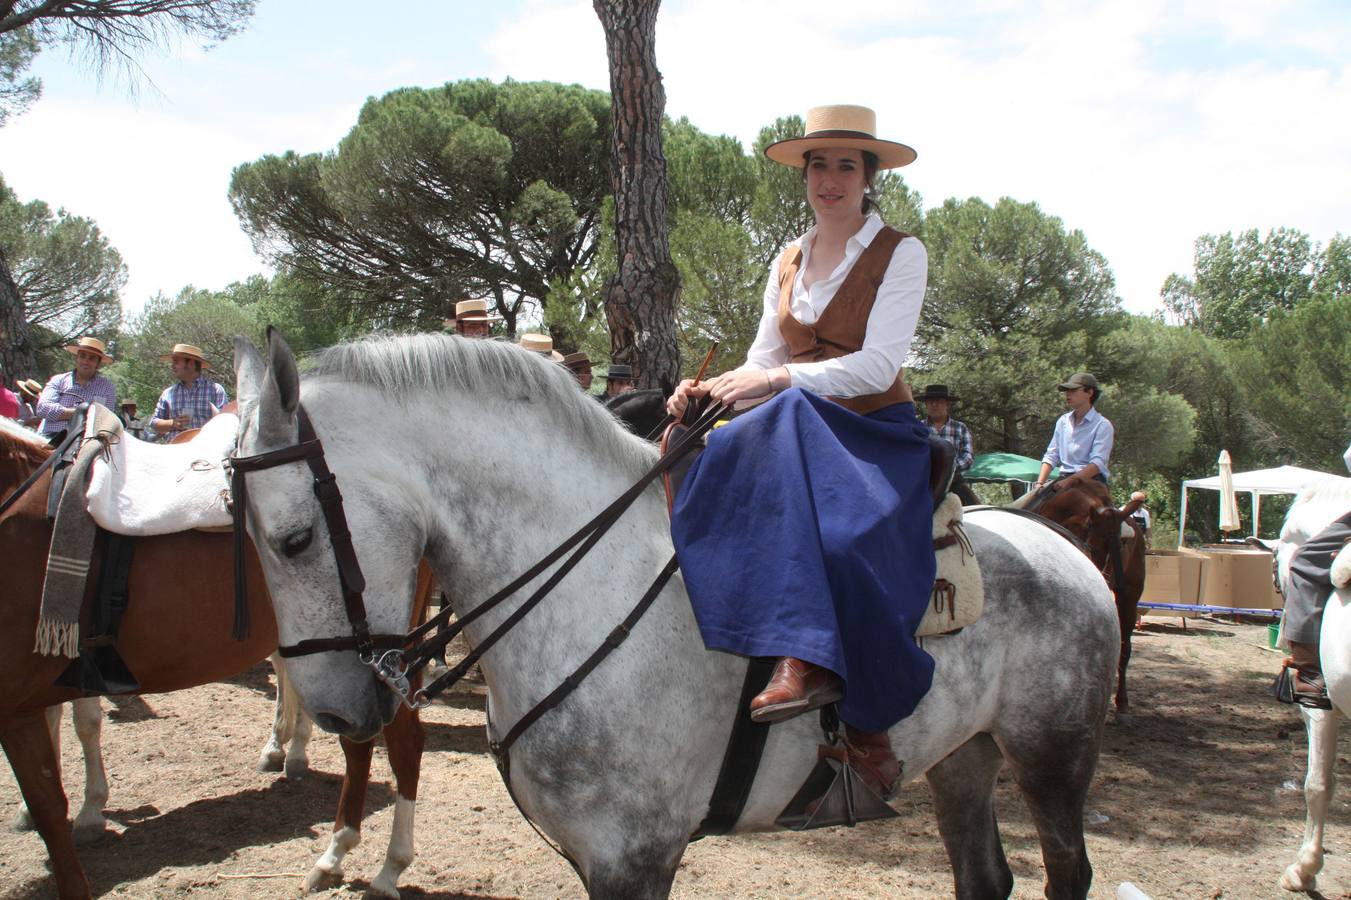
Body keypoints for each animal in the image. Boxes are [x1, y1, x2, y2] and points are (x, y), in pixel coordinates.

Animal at [0, 418, 429, 897]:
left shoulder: (22, 701)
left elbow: (52, 797)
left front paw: (87, 816)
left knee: (400, 744)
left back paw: (384, 869)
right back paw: (330, 845)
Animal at [232, 331, 1118, 897]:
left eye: (295, 537)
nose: (335, 712)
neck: (591, 592)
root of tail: (1058, 545)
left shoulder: (634, 857)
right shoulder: (593, 858)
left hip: (1053, 754)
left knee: (1068, 872)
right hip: (964, 754)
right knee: (985, 878)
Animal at [1015, 481, 1145, 713]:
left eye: (1121, 544)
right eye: (1092, 545)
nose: (1101, 581)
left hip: (1129, 598)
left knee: (1125, 648)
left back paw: (1122, 701)